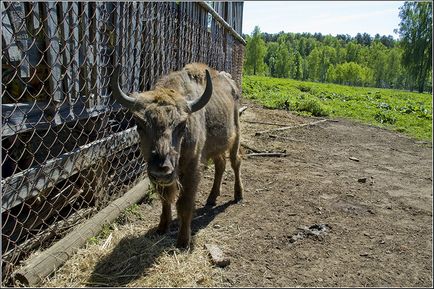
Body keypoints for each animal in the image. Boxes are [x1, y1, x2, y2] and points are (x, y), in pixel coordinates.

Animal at [112, 63, 244, 248]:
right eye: (139, 124)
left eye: (182, 125)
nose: (161, 170)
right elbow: (165, 200)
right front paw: (161, 228)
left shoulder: (192, 169)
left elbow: (184, 204)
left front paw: (183, 241)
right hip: (215, 148)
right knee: (220, 165)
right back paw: (211, 198)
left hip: (235, 136)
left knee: (235, 162)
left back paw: (238, 195)